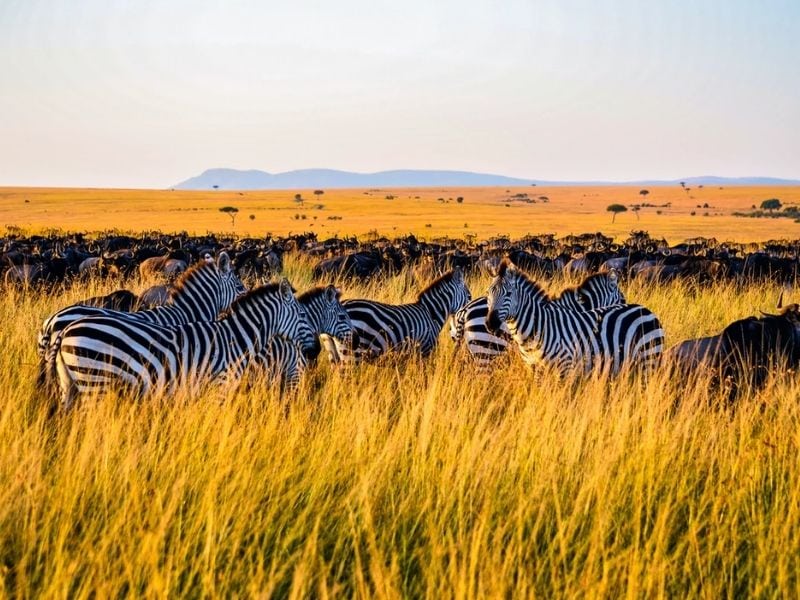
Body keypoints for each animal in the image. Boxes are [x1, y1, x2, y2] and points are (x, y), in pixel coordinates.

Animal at [53, 278, 314, 408]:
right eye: (302, 315)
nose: (313, 351)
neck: (236, 339)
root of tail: (65, 330)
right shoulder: (220, 386)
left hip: (70, 384)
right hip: (94, 381)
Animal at [324, 270, 472, 364]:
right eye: (469, 296)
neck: (431, 313)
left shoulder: (412, 353)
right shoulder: (425, 348)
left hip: (334, 353)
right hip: (352, 351)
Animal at [488, 262, 664, 376]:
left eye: (509, 294)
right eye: (488, 293)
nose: (490, 323)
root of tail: (647, 310)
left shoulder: (565, 367)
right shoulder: (535, 368)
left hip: (649, 359)